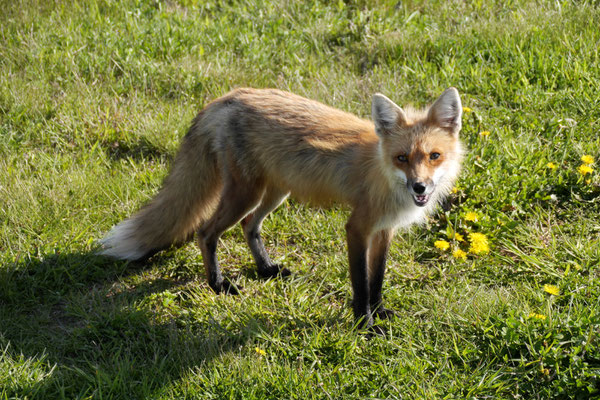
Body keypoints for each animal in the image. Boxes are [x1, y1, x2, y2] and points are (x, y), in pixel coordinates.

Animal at [99, 88, 464, 332]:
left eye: (434, 156)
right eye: (402, 158)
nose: (419, 188)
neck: (382, 174)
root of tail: (228, 97)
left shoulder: (384, 230)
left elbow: (377, 279)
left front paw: (379, 311)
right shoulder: (358, 228)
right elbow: (361, 283)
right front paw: (364, 324)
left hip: (275, 193)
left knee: (249, 226)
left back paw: (265, 269)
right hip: (244, 194)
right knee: (206, 233)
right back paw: (218, 284)